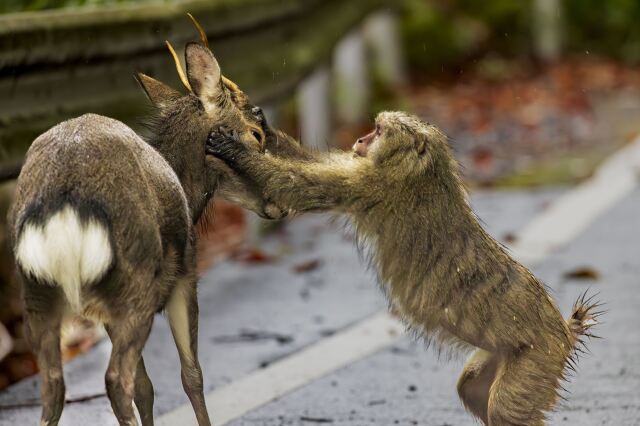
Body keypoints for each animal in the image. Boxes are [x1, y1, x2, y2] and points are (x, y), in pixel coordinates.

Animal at [8, 16, 300, 426]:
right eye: (256, 133)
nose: (282, 204)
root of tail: (65, 210)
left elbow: (146, 386)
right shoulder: (186, 275)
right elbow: (191, 374)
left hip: (39, 293)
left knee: (54, 388)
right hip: (135, 281)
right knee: (116, 379)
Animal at [205, 111, 601, 425]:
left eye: (378, 131)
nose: (360, 139)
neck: (422, 171)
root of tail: (562, 329)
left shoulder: (372, 185)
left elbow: (296, 185)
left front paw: (233, 149)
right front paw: (263, 127)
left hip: (537, 357)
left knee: (505, 409)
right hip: (507, 354)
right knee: (471, 388)